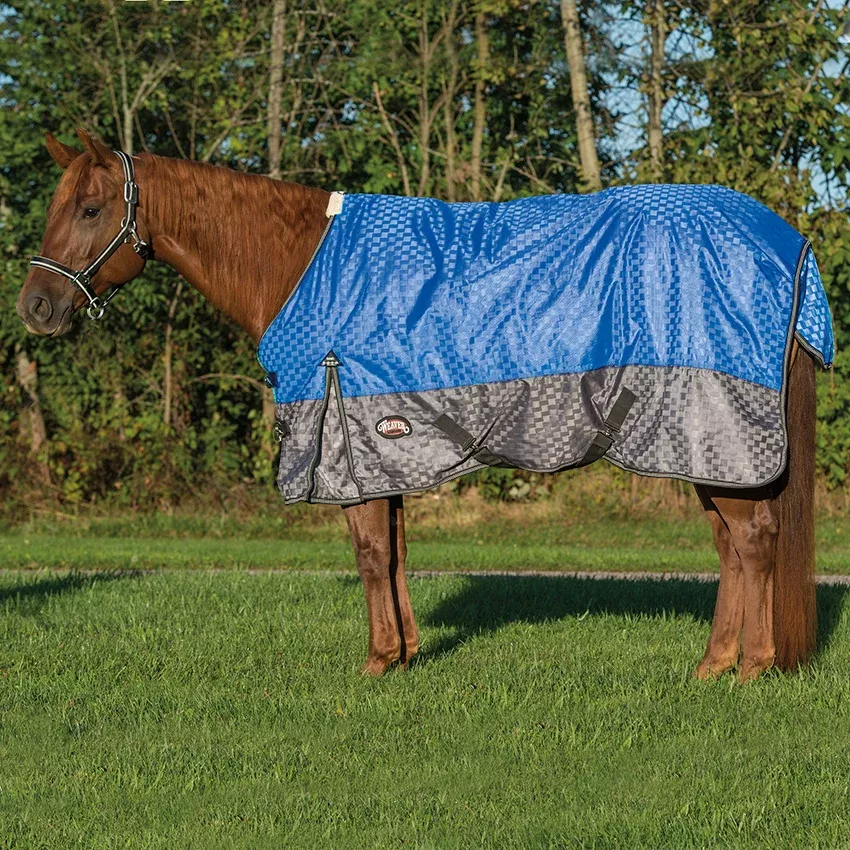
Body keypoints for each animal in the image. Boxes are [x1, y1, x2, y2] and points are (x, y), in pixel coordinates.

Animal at [16, 129, 818, 682]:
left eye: (90, 209)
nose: (35, 307)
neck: (300, 266)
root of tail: (789, 246)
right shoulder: (380, 447)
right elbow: (396, 553)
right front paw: (404, 654)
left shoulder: (345, 445)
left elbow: (371, 555)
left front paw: (375, 663)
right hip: (700, 448)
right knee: (731, 546)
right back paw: (712, 666)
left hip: (715, 435)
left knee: (753, 542)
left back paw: (749, 669)